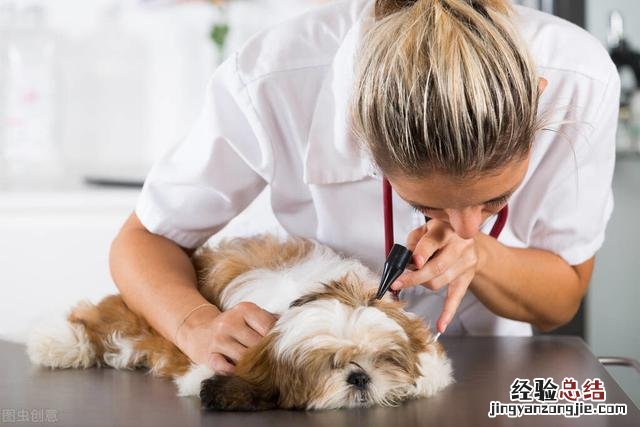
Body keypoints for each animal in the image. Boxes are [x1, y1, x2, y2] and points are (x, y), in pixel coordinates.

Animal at [27, 236, 452, 410]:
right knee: (101, 320)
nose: (359, 377)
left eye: (383, 359)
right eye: (327, 367)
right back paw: (58, 342)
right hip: (137, 313)